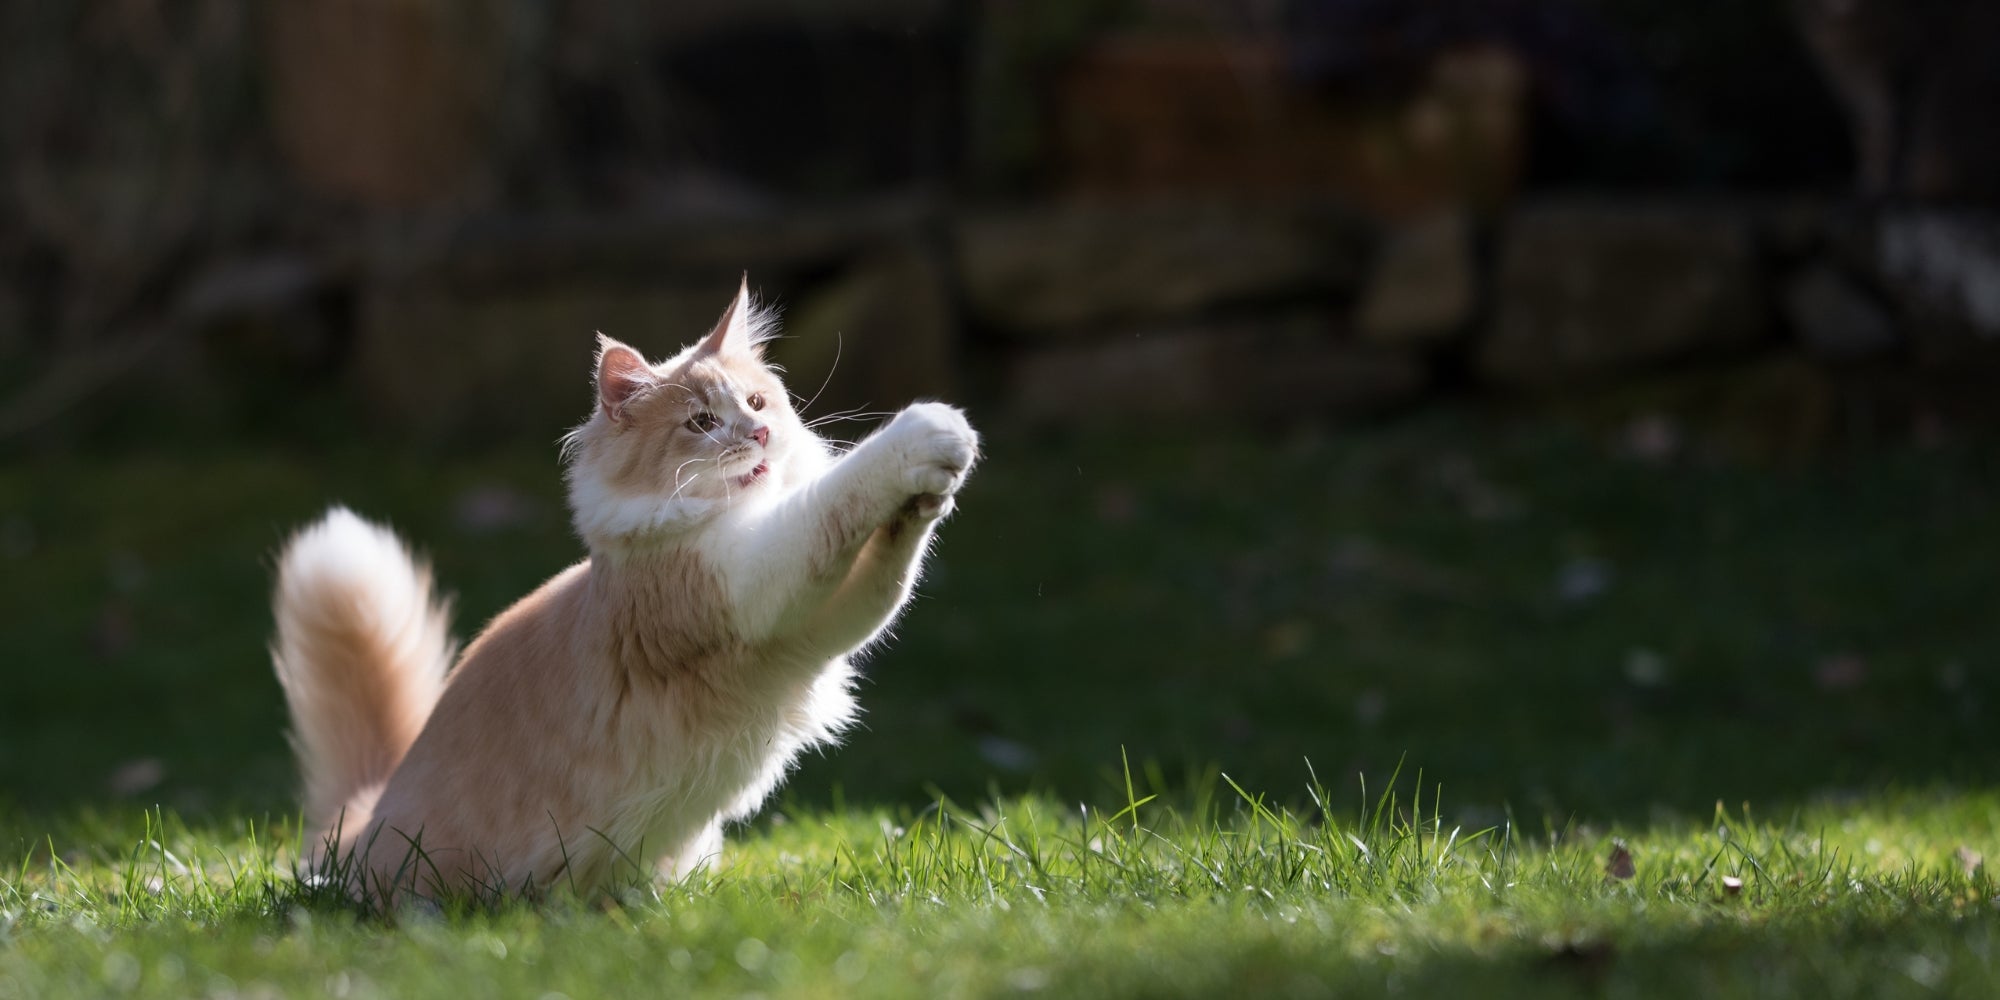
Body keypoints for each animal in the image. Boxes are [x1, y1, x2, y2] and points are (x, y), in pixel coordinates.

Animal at [272, 278, 976, 904]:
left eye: (756, 402)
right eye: (701, 421)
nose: (759, 436)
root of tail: (363, 822)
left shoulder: (817, 624)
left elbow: (891, 567)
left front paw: (929, 496)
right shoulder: (757, 578)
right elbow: (836, 497)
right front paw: (926, 434)